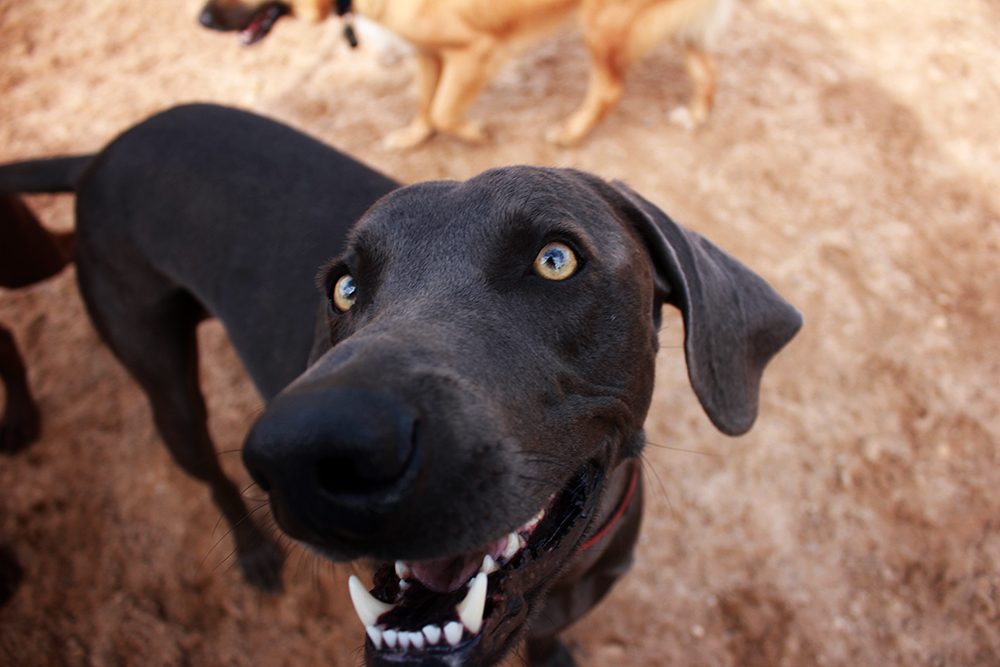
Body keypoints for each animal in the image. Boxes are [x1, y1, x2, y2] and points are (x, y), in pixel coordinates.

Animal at [198, 0, 733, 147]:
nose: (200, 18)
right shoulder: (428, 53)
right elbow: (424, 105)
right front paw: (413, 138)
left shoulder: (473, 51)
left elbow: (443, 108)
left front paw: (475, 133)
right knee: (706, 66)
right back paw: (697, 114)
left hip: (603, 27)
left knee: (609, 89)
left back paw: (570, 133)